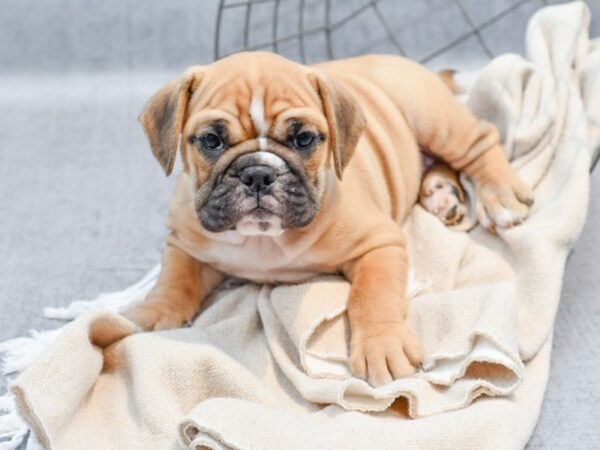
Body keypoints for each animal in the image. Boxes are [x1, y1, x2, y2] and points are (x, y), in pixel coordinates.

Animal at [124, 51, 532, 384]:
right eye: (211, 141)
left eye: (304, 139)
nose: (258, 173)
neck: (264, 240)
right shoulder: (184, 242)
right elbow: (175, 279)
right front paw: (152, 312)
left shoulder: (379, 244)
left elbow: (372, 295)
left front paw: (382, 344)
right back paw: (439, 192)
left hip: (435, 120)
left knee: (480, 142)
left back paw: (500, 195)